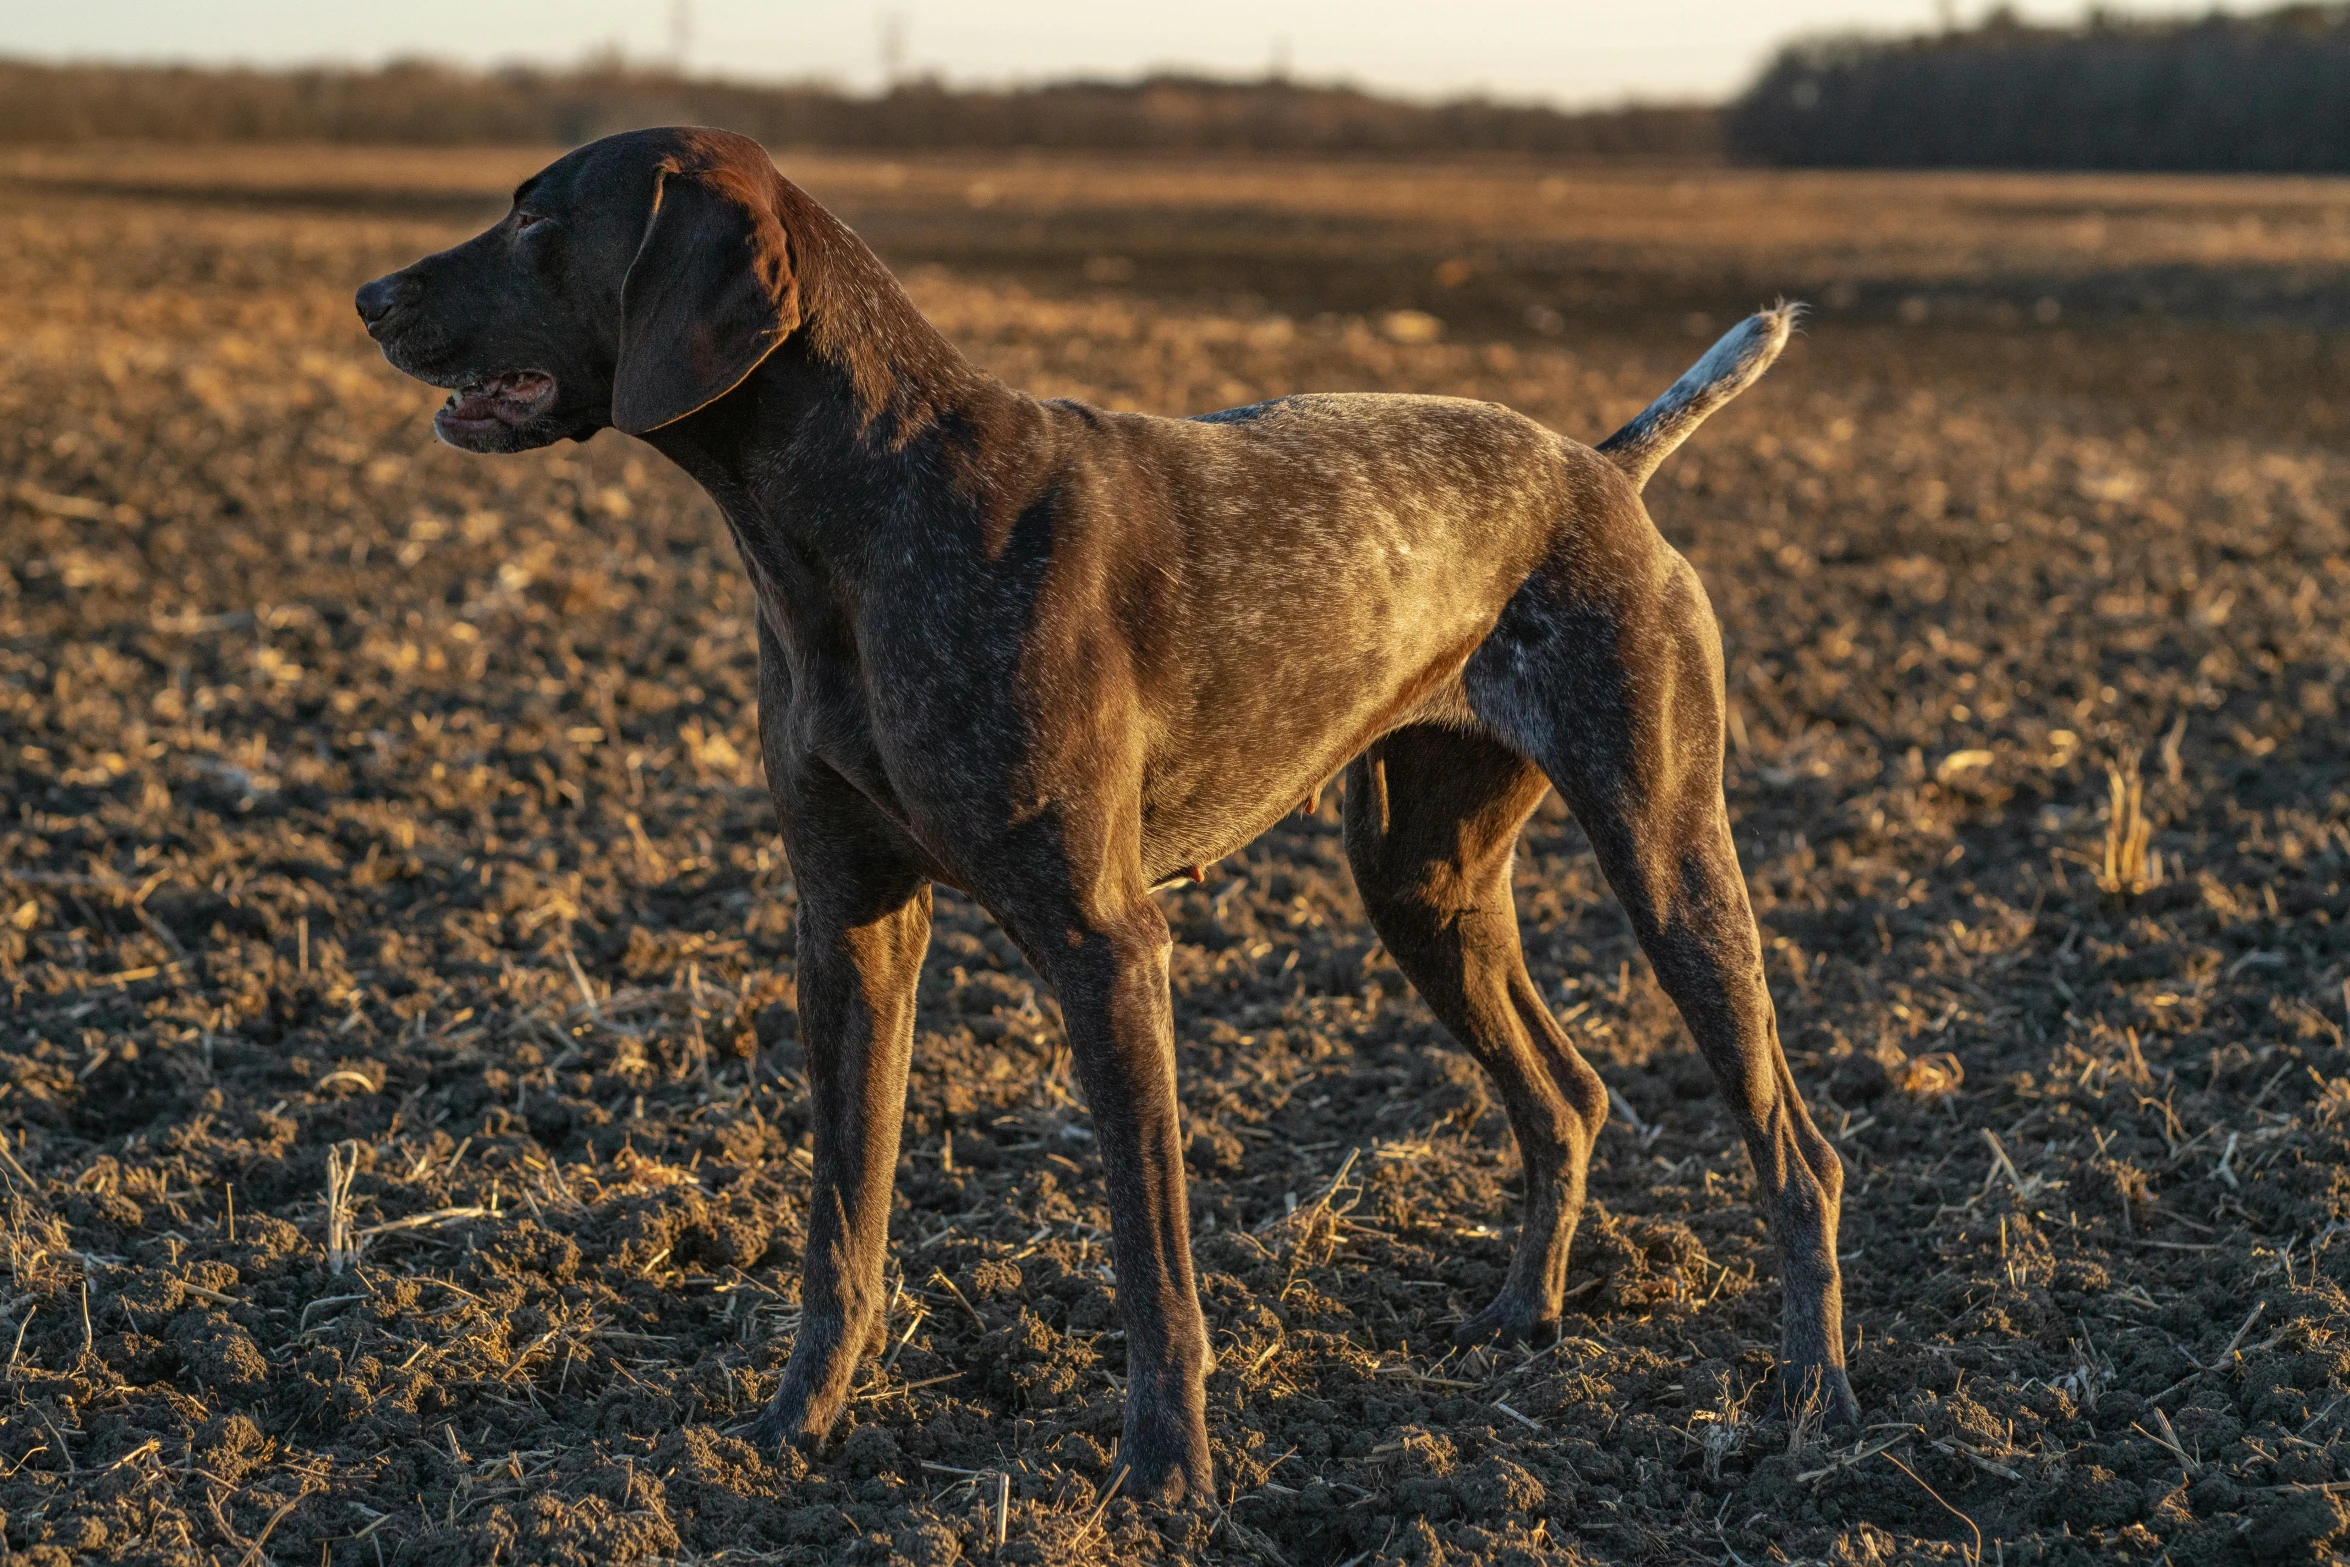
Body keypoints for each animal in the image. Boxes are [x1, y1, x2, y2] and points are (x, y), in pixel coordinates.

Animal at [352, 125, 1851, 1503]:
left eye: (537, 216)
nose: (367, 294)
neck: (859, 516)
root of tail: (1600, 467)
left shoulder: (1105, 942)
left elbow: (1150, 1251)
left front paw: (1166, 1474)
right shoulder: (848, 925)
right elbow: (843, 1222)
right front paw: (792, 1429)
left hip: (1665, 852)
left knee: (1797, 1149)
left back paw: (1811, 1401)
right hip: (1421, 883)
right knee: (1569, 1095)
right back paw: (1524, 1314)